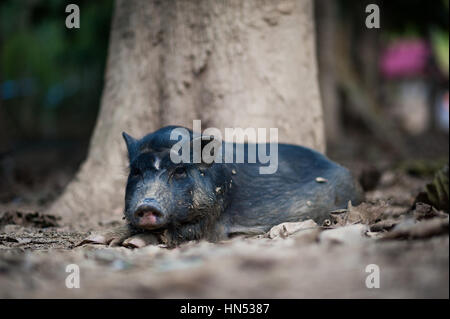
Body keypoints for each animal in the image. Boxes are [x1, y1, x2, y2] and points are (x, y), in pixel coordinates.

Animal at [81, 126, 362, 249]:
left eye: (179, 170)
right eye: (136, 171)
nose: (146, 205)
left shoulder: (213, 217)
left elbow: (182, 233)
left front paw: (130, 243)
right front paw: (94, 239)